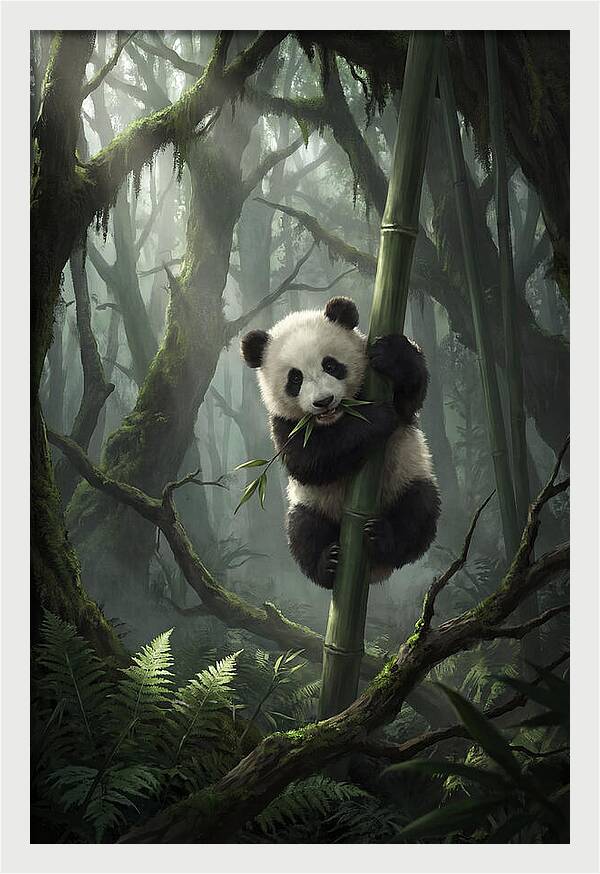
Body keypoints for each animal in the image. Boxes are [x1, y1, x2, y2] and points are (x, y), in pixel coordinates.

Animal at [240, 296, 440, 589]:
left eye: (331, 365)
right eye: (295, 378)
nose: (323, 401)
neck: (337, 418)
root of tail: (374, 572)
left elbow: (409, 398)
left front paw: (392, 355)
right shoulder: (284, 424)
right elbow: (309, 461)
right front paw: (376, 417)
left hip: (407, 478)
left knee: (418, 511)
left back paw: (383, 538)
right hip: (312, 504)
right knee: (303, 531)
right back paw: (328, 564)